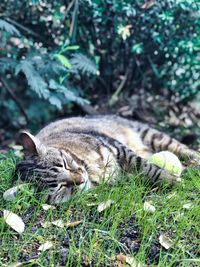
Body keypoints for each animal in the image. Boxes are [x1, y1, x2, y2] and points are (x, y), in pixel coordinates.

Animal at [15, 114, 198, 204]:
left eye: (65, 164)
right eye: (60, 187)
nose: (80, 179)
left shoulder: (118, 147)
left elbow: (146, 167)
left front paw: (172, 180)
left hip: (154, 136)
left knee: (185, 149)